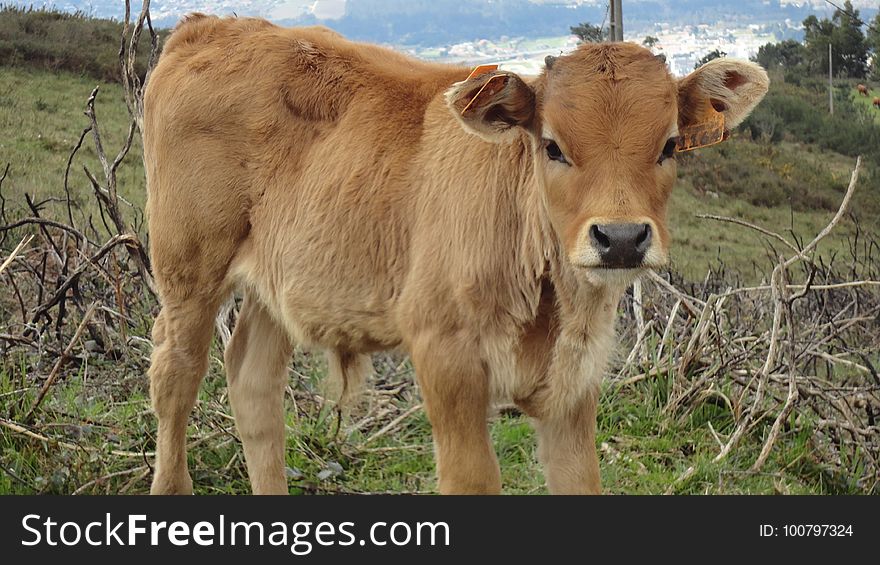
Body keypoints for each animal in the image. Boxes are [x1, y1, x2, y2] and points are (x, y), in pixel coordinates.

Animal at [141, 15, 768, 494]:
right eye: (552, 146)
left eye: (669, 145)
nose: (619, 238)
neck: (549, 303)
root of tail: (212, 25)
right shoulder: (444, 353)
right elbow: (472, 480)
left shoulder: (574, 383)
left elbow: (580, 480)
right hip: (188, 266)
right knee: (175, 375)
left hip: (276, 285)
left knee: (252, 384)